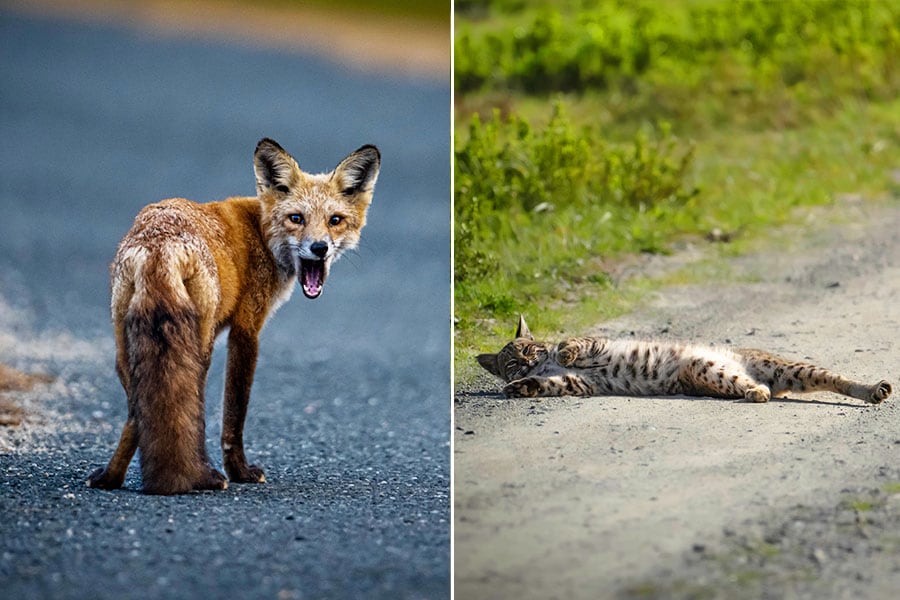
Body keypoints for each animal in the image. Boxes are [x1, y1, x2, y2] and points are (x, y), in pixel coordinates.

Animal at [85, 138, 380, 494]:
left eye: (335, 220)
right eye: (297, 218)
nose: (319, 248)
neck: (261, 232)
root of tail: (160, 245)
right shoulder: (246, 329)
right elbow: (235, 412)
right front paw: (240, 471)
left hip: (125, 345)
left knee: (136, 412)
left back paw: (111, 478)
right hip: (201, 345)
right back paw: (202, 476)